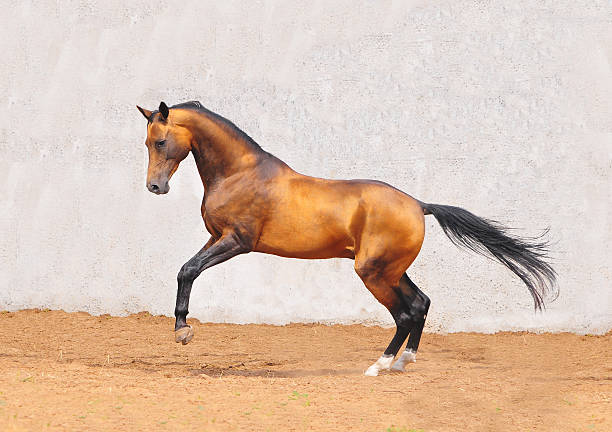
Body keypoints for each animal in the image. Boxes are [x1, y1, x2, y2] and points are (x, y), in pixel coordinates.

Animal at [136, 100, 556, 374]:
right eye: (147, 142)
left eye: (160, 141)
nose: (155, 187)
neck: (240, 173)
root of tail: (419, 205)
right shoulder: (216, 238)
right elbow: (184, 269)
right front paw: (182, 327)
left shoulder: (237, 241)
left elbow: (189, 270)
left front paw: (183, 330)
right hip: (389, 269)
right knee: (421, 303)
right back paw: (403, 362)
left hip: (373, 273)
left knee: (405, 312)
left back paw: (378, 365)